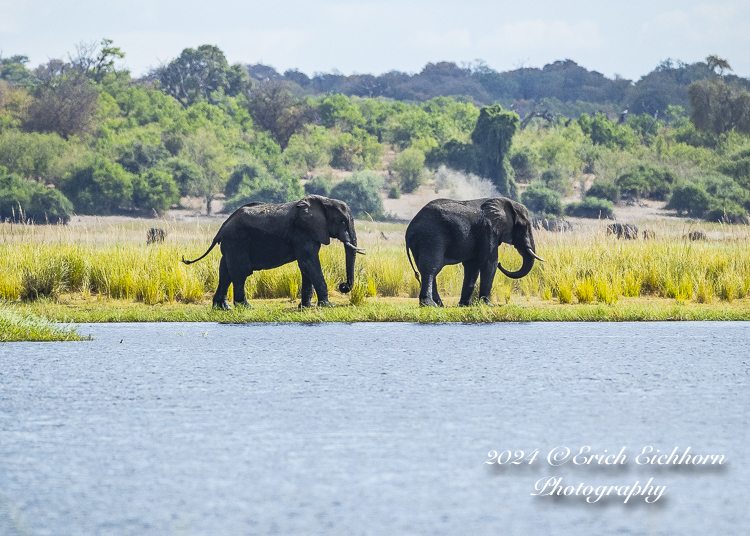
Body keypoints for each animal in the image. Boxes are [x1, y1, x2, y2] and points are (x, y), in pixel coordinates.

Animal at [185, 195, 368, 308]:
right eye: (342, 221)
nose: (343, 286)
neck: (324, 200)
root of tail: (221, 228)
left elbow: (306, 267)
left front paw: (306, 307)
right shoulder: (302, 232)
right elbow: (309, 262)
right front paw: (328, 305)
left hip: (230, 245)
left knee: (225, 272)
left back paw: (223, 308)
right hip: (237, 241)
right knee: (240, 273)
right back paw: (246, 307)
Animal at [406, 196, 548, 306]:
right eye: (524, 226)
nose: (502, 264)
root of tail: (410, 229)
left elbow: (472, 266)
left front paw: (465, 305)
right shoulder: (488, 230)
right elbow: (489, 262)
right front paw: (488, 305)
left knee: (427, 270)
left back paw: (439, 305)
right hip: (431, 238)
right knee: (431, 269)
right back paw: (430, 305)